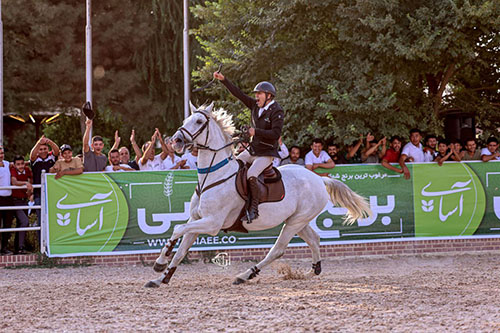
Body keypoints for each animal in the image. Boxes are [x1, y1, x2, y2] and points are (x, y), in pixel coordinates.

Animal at [145, 102, 372, 286]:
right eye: (186, 120)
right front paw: (161, 277)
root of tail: (318, 179)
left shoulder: (212, 223)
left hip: (294, 222)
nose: (176, 141)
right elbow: (181, 248)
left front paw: (159, 263)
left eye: (199, 121)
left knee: (278, 250)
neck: (213, 174)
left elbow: (177, 229)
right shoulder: (196, 219)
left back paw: (246, 275)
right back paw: (311, 272)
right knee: (314, 240)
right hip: (298, 220)